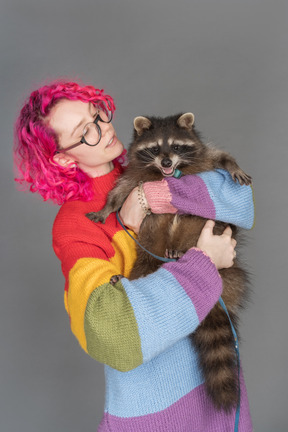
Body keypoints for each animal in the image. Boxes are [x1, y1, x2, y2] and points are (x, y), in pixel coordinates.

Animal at [87, 113, 252, 410]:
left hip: (208, 235)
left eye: (175, 147)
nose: (165, 163)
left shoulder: (203, 156)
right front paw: (106, 208)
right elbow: (118, 194)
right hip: (149, 254)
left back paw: (183, 250)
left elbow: (219, 157)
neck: (169, 174)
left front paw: (233, 164)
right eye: (155, 149)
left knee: (212, 224)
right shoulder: (134, 176)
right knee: (143, 268)